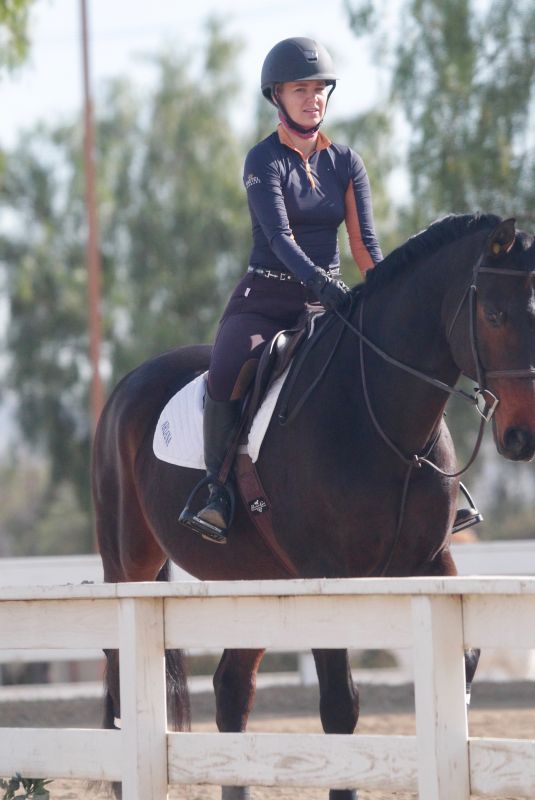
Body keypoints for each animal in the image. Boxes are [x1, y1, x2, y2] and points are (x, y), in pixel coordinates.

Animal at [93, 212, 535, 800]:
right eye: (494, 315)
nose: (522, 436)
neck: (379, 414)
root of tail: (126, 385)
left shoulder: (429, 562)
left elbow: (459, 665)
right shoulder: (327, 574)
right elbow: (339, 710)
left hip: (253, 580)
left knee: (232, 688)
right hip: (129, 564)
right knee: (123, 680)